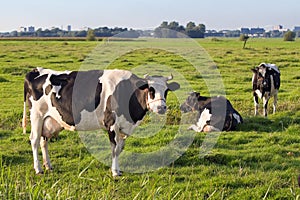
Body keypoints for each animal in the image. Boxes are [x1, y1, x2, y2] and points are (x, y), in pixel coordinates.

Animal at [22, 67, 180, 177]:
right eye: (151, 90)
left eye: (166, 91)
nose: (161, 107)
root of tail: (35, 71)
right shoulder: (112, 124)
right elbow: (114, 149)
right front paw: (115, 172)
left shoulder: (124, 127)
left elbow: (120, 148)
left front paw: (118, 170)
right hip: (36, 116)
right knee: (34, 140)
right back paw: (38, 169)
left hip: (49, 120)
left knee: (43, 141)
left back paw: (48, 166)